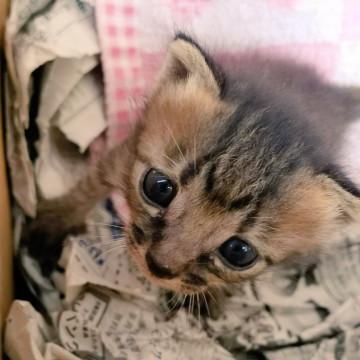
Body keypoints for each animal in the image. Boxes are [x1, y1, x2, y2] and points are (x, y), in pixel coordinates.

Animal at [23, 33, 360, 298]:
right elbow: (91, 182)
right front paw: (54, 221)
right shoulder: (126, 150)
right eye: (159, 188)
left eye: (239, 252)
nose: (159, 266)